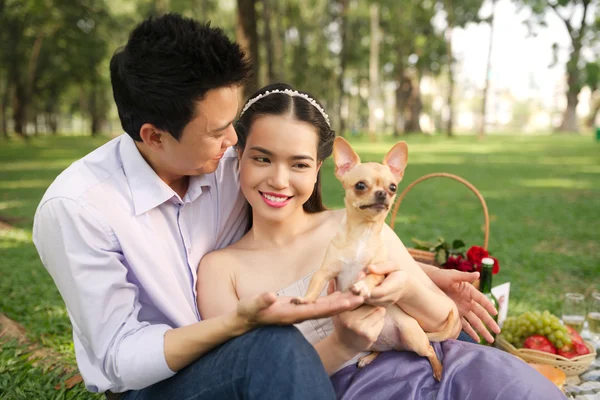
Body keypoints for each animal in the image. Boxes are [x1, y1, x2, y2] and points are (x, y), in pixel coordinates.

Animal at [290, 138, 454, 382]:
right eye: (360, 186)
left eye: (393, 187)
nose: (382, 194)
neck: (362, 234)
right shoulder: (325, 271)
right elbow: (315, 285)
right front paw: (307, 300)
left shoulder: (378, 272)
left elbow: (370, 278)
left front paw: (362, 286)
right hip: (371, 340)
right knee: (380, 350)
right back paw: (368, 358)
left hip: (414, 338)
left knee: (431, 351)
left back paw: (438, 370)